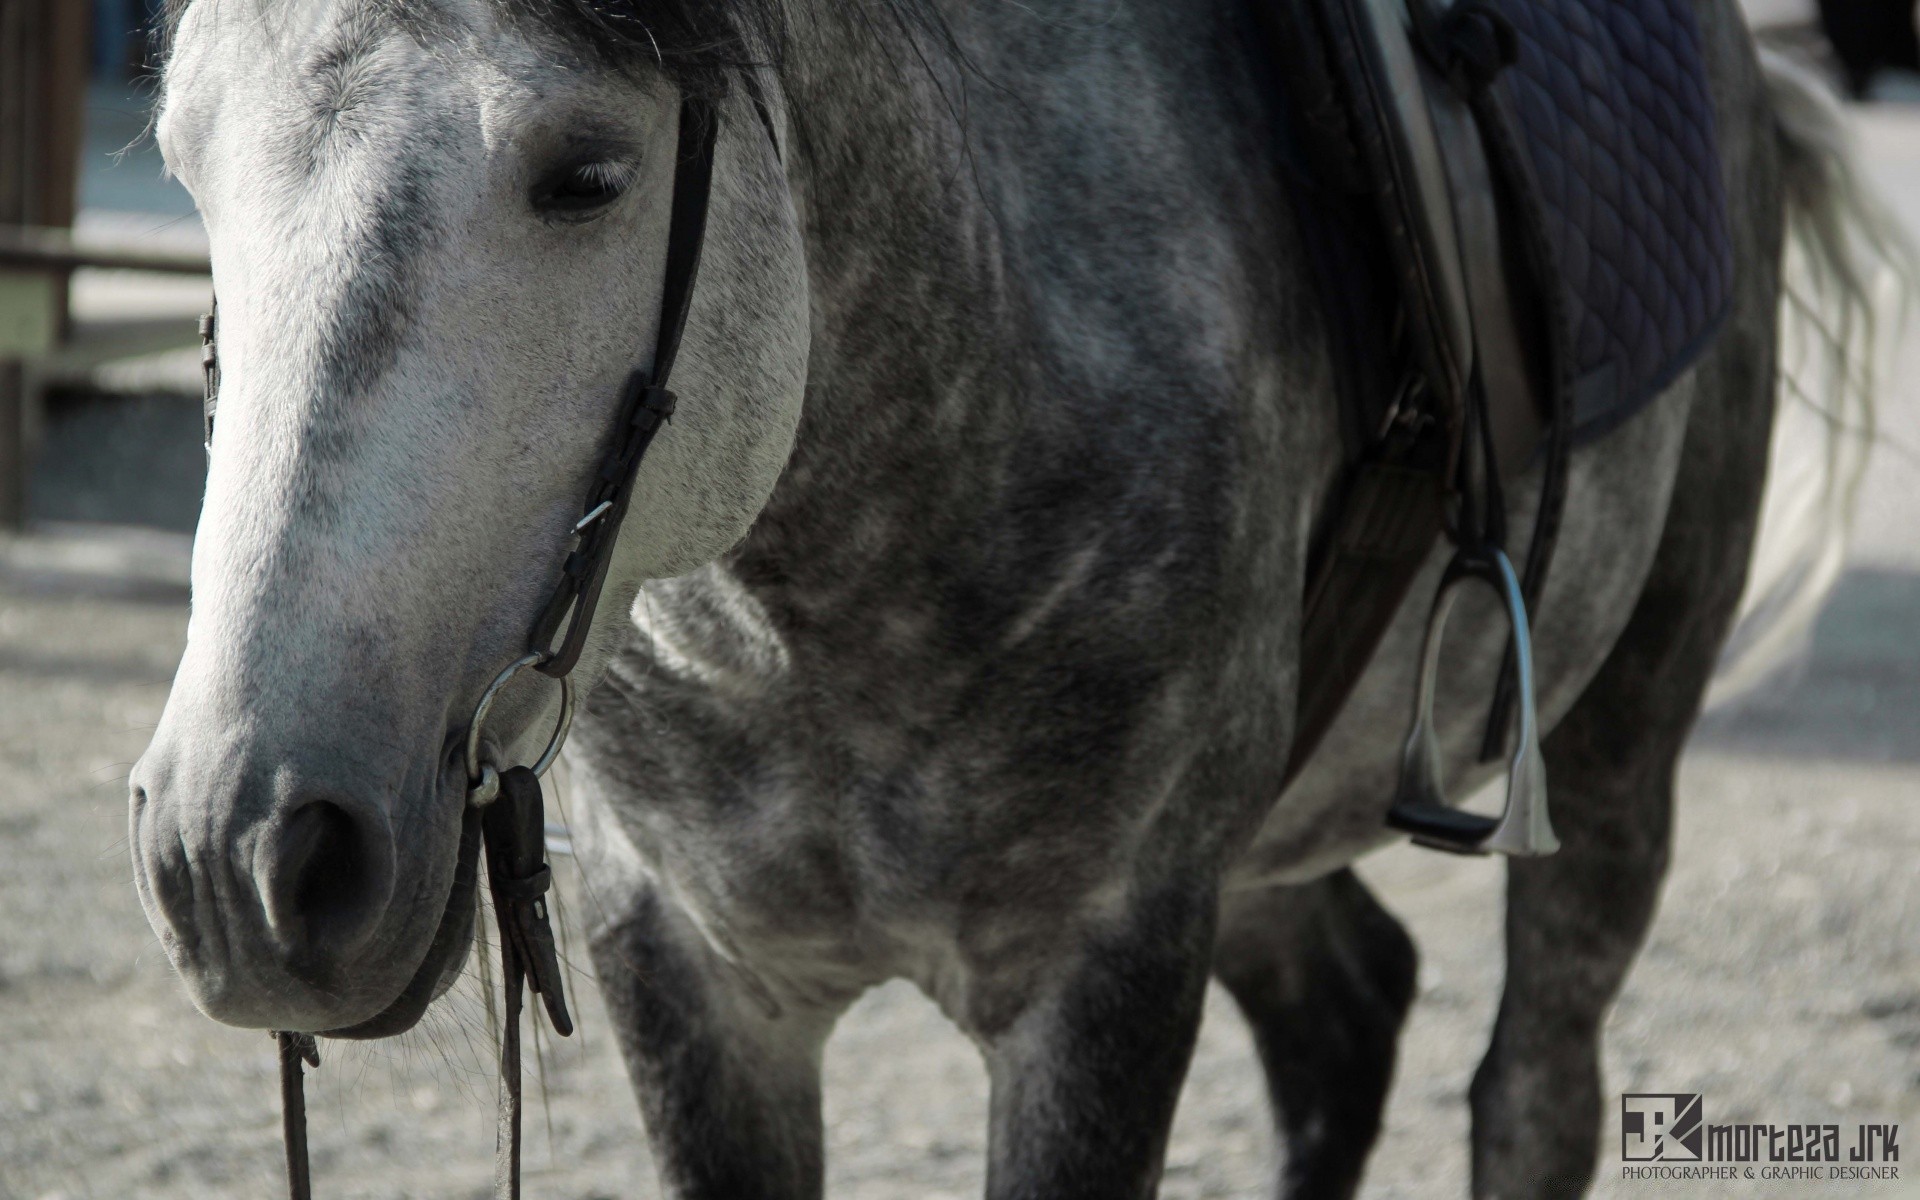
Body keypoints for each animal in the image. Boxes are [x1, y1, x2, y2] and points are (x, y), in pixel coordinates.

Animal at [131, 0, 1889, 1190]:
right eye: (185, 167)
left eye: (583, 173)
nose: (240, 855)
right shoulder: (691, 974)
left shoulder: (1097, 977)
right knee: (1347, 1018)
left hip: (1615, 751)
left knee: (1532, 1088)